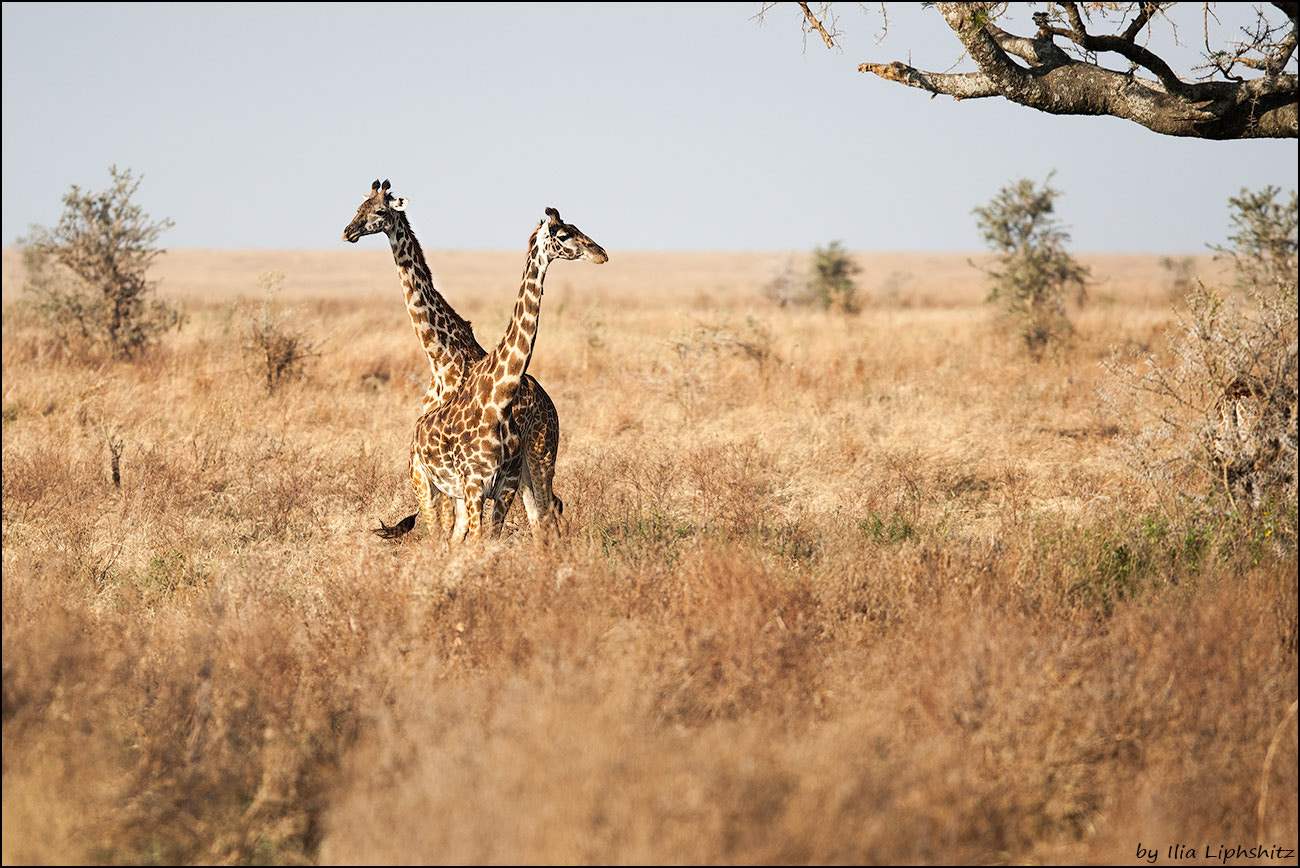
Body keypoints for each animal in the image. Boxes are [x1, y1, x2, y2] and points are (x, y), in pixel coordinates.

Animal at [345, 179, 564, 537]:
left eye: (379, 212)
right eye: (357, 208)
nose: (348, 232)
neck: (441, 356)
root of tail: (552, 407)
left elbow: (449, 521)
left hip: (540, 453)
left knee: (550, 508)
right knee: (544, 510)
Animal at [408, 205, 605, 543]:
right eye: (564, 234)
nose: (601, 253)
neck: (498, 399)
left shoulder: (505, 486)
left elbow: (489, 541)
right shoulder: (474, 485)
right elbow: (477, 544)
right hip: (426, 485)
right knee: (435, 534)